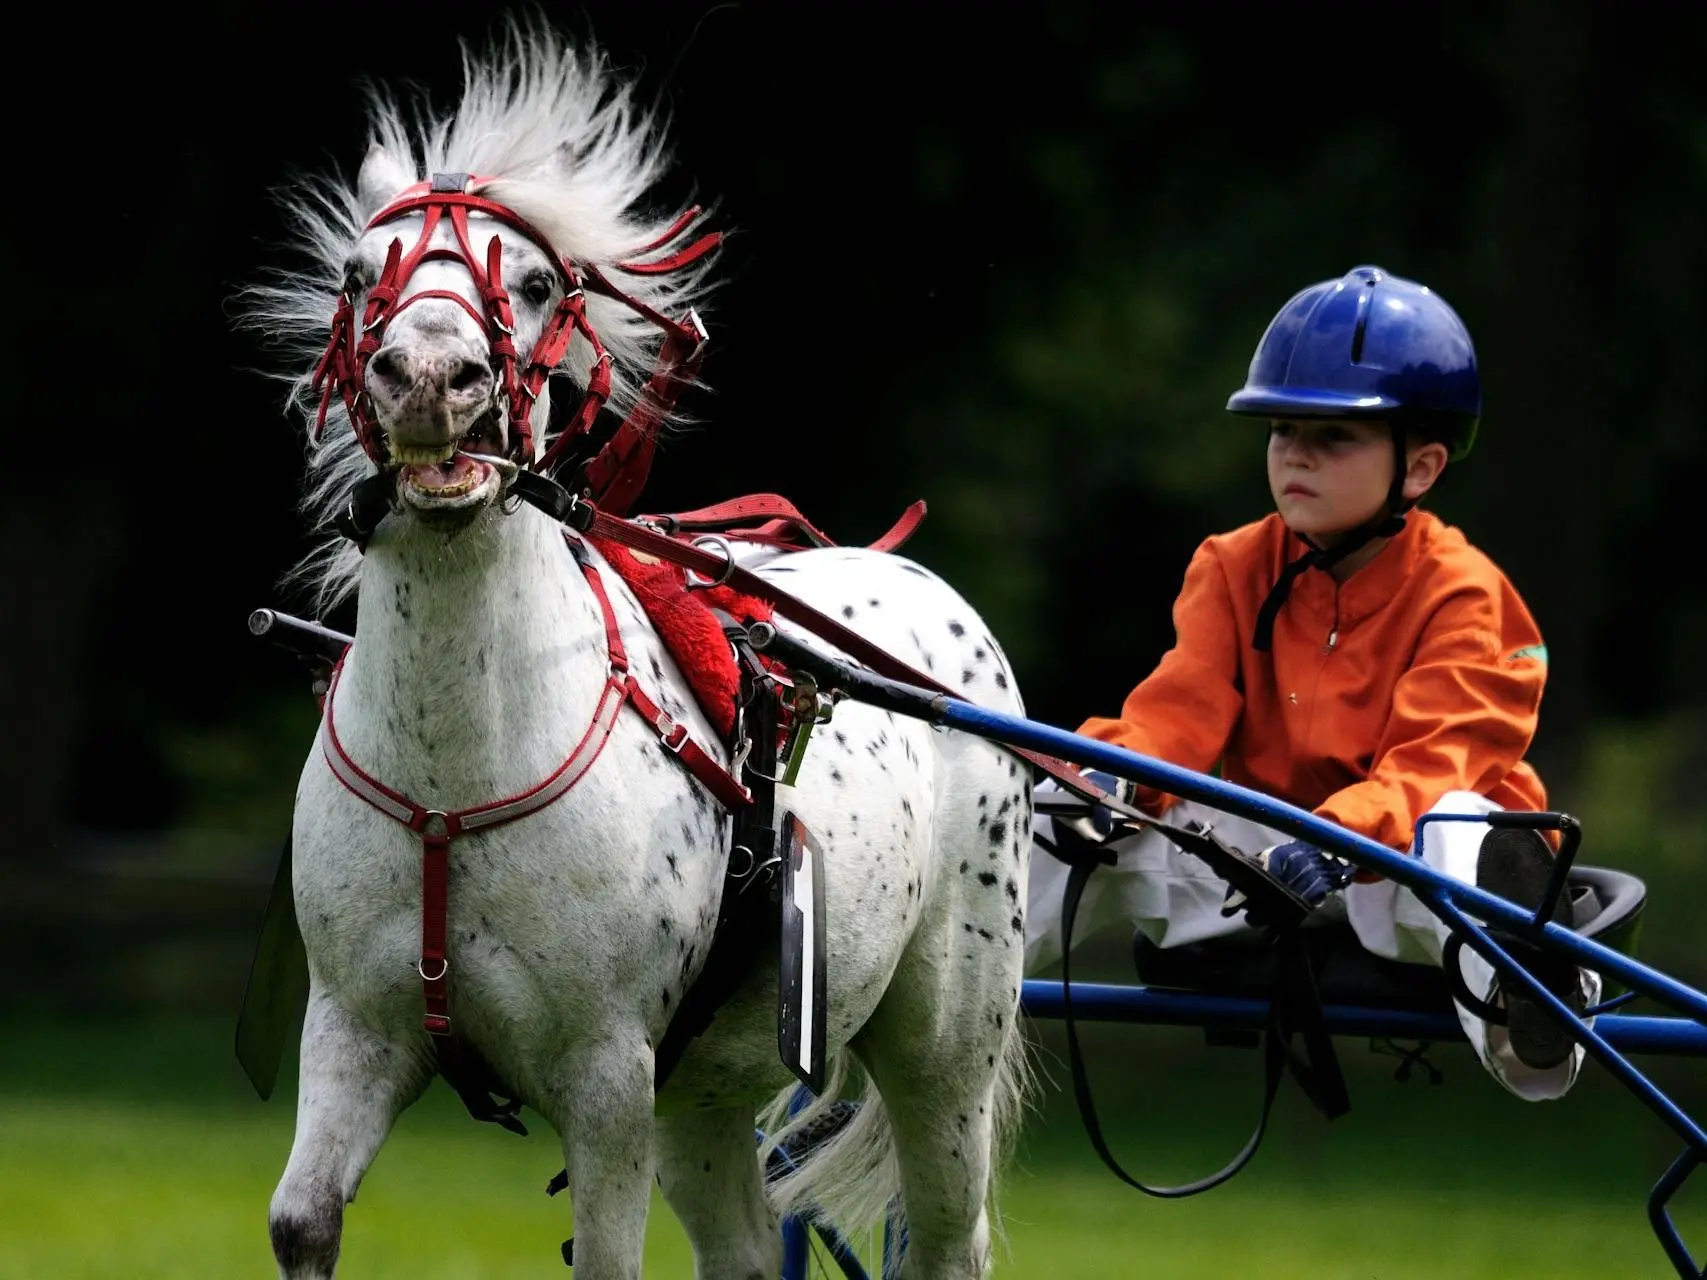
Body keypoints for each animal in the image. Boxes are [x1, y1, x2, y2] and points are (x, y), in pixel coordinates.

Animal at [244, 12, 1024, 1280]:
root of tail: (922, 584)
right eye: (366, 274)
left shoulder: (607, 1072)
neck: (455, 773)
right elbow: (303, 1217)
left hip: (944, 1046)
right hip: (704, 1094)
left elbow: (607, 1255)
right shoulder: (354, 1025)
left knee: (951, 1232)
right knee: (747, 1247)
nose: (430, 377)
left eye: (533, 282)